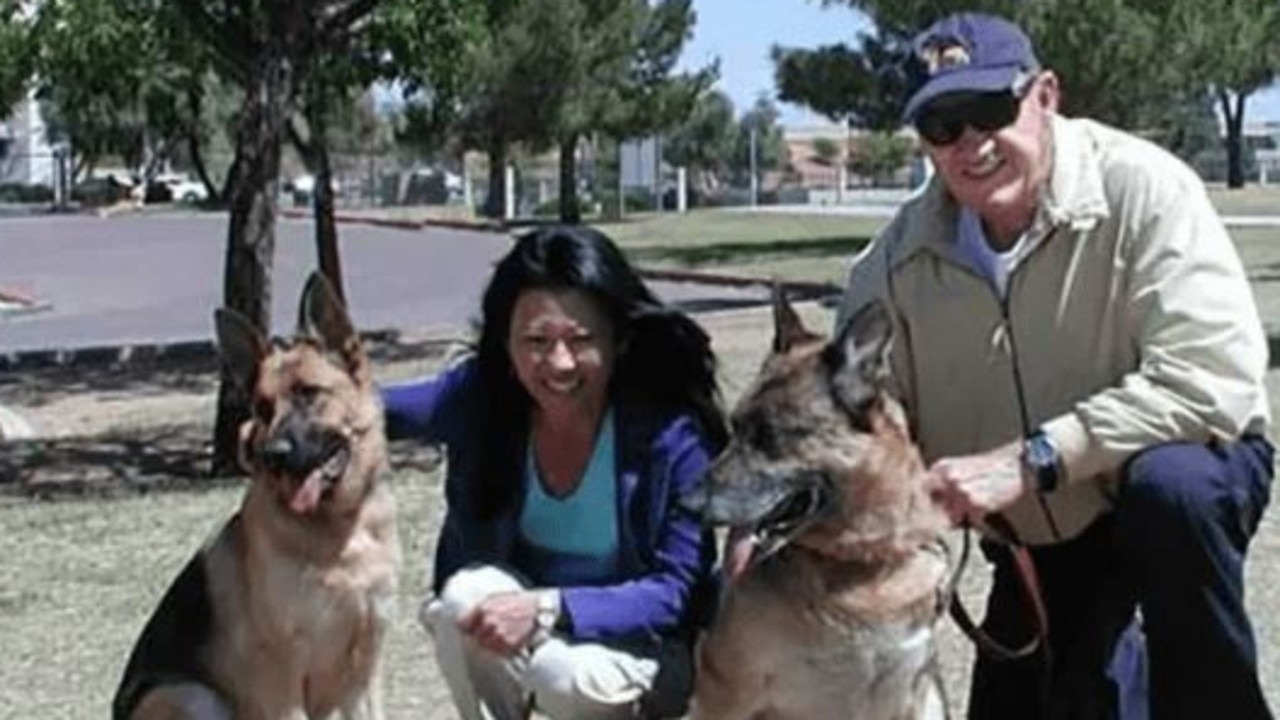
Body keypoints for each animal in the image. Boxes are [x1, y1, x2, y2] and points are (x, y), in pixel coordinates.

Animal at [113, 270, 396, 717]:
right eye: (262, 408)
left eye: (309, 394)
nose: (272, 454)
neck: (337, 531)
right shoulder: (284, 676)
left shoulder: (366, 668)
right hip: (192, 695)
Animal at [691, 292, 952, 717]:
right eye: (735, 428)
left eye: (769, 436)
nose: (684, 503)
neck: (859, 562)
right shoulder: (725, 687)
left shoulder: (907, 693)